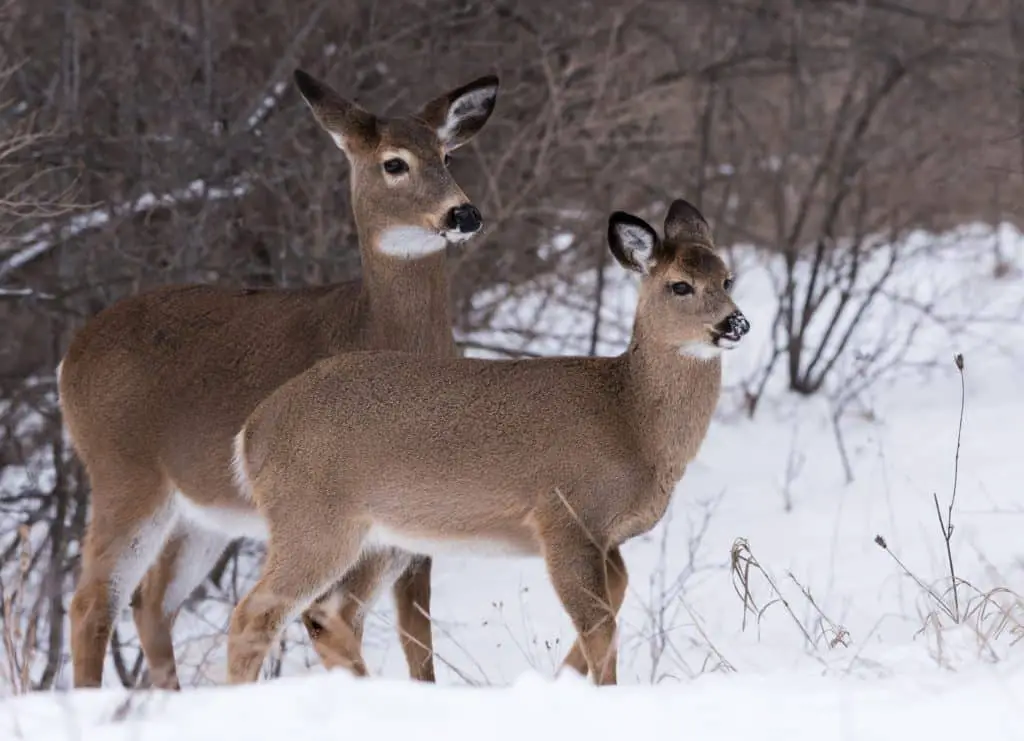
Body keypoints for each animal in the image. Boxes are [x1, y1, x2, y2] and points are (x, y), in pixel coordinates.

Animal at [58, 65, 499, 687]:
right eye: (394, 163)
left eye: (448, 155)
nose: (463, 214)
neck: (373, 328)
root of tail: (71, 355)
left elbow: (418, 640)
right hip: (124, 471)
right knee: (95, 600)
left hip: (206, 511)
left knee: (153, 600)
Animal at [228, 196, 749, 683]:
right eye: (679, 285)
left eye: (727, 279)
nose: (736, 324)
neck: (632, 421)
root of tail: (252, 431)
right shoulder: (565, 517)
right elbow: (599, 626)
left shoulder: (606, 536)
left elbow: (614, 606)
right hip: (312, 520)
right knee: (255, 614)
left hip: (379, 538)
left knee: (329, 614)